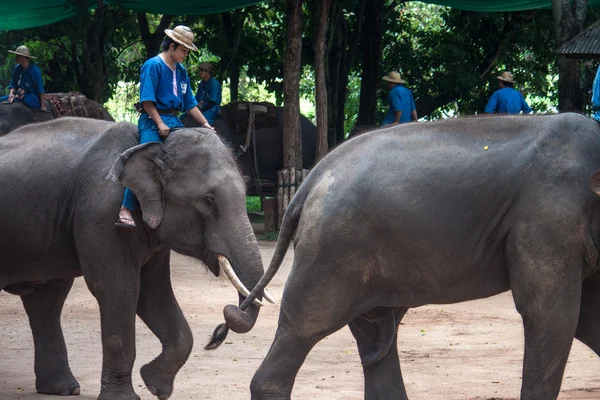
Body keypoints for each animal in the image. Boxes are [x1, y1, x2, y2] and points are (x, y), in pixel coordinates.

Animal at [0, 117, 266, 398]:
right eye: (208, 200)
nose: (219, 330)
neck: (154, 146)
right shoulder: (103, 215)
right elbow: (119, 288)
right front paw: (126, 396)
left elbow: (153, 293)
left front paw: (155, 385)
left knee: (47, 299)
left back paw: (63, 389)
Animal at [244, 111, 600, 400]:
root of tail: (310, 181)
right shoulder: (547, 220)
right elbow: (551, 313)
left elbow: (587, 320)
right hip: (329, 254)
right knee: (305, 329)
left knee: (375, 341)